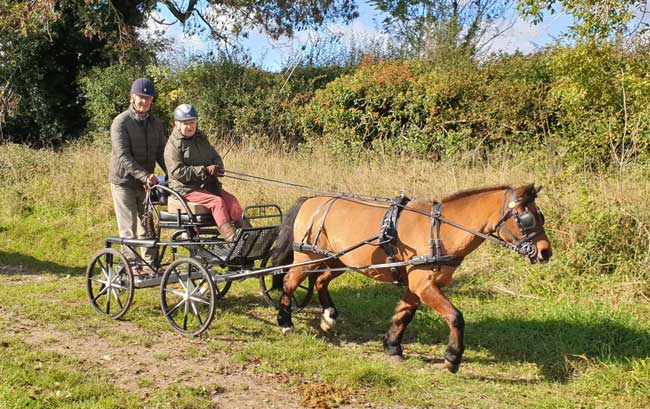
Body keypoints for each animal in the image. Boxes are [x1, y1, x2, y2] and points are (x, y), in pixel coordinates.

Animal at [270, 183, 548, 372]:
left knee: (320, 280)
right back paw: (285, 321)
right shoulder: (423, 285)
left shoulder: (418, 286)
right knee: (289, 283)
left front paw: (392, 346)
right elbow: (455, 317)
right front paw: (452, 358)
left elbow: (403, 315)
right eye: (527, 218)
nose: (546, 252)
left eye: (540, 215)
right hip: (307, 257)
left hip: (337, 259)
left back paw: (328, 317)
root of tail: (311, 200)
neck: (440, 230)